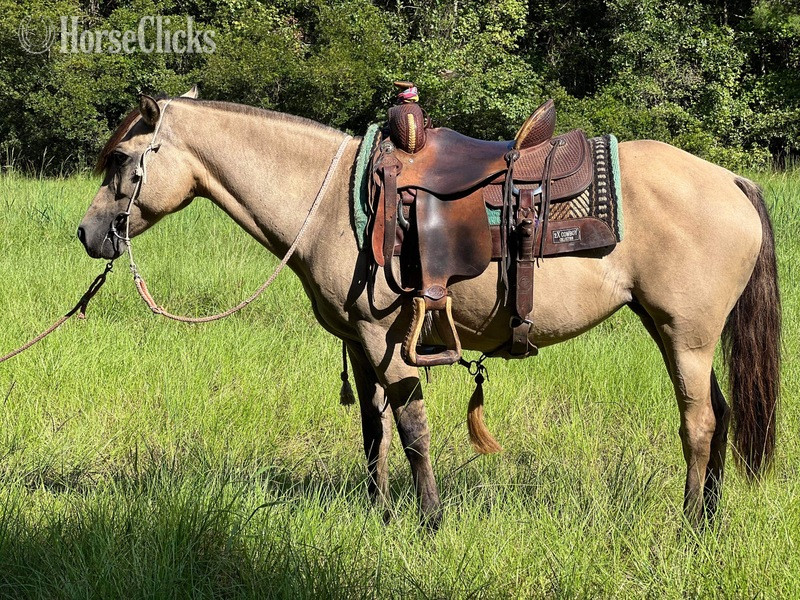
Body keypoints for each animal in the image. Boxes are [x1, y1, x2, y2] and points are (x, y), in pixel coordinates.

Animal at [77, 89, 781, 529]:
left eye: (121, 161)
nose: (87, 233)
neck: (331, 204)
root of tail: (730, 179)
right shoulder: (359, 344)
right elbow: (374, 431)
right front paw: (379, 513)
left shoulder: (385, 339)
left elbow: (412, 429)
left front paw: (430, 521)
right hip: (676, 333)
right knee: (719, 415)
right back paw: (710, 519)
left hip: (687, 336)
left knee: (699, 425)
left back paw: (688, 525)